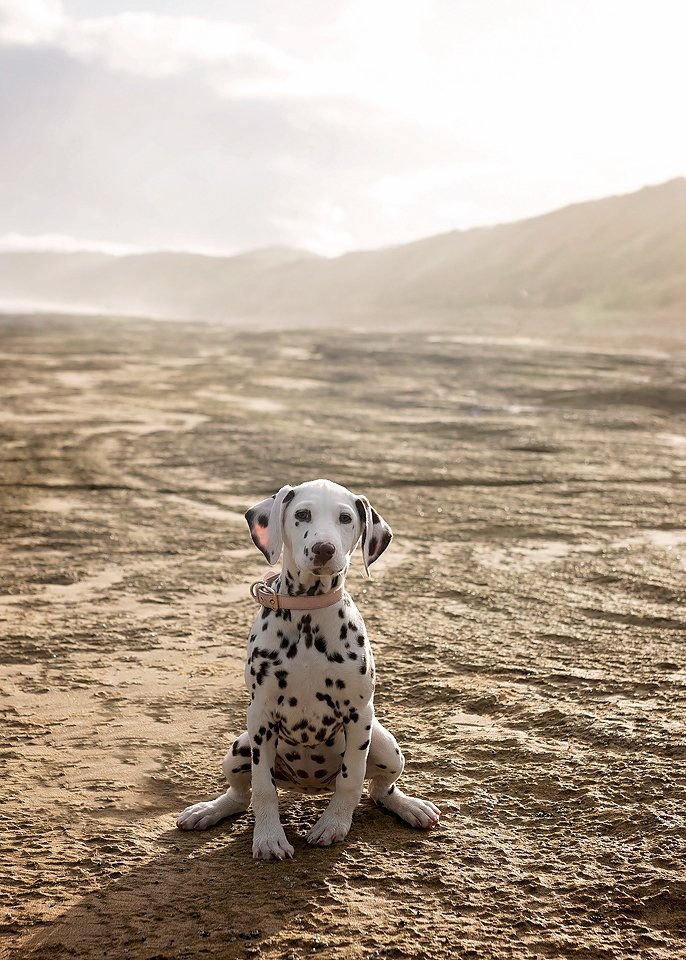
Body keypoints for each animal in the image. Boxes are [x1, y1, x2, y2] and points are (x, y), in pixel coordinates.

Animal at [177, 476, 440, 860]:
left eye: (346, 518)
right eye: (302, 514)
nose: (324, 549)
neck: (307, 618)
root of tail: (309, 787)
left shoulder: (359, 713)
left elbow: (351, 779)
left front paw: (333, 825)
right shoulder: (260, 715)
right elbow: (263, 788)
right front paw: (269, 838)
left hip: (385, 743)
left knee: (380, 790)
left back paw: (408, 806)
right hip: (239, 747)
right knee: (241, 795)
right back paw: (209, 810)